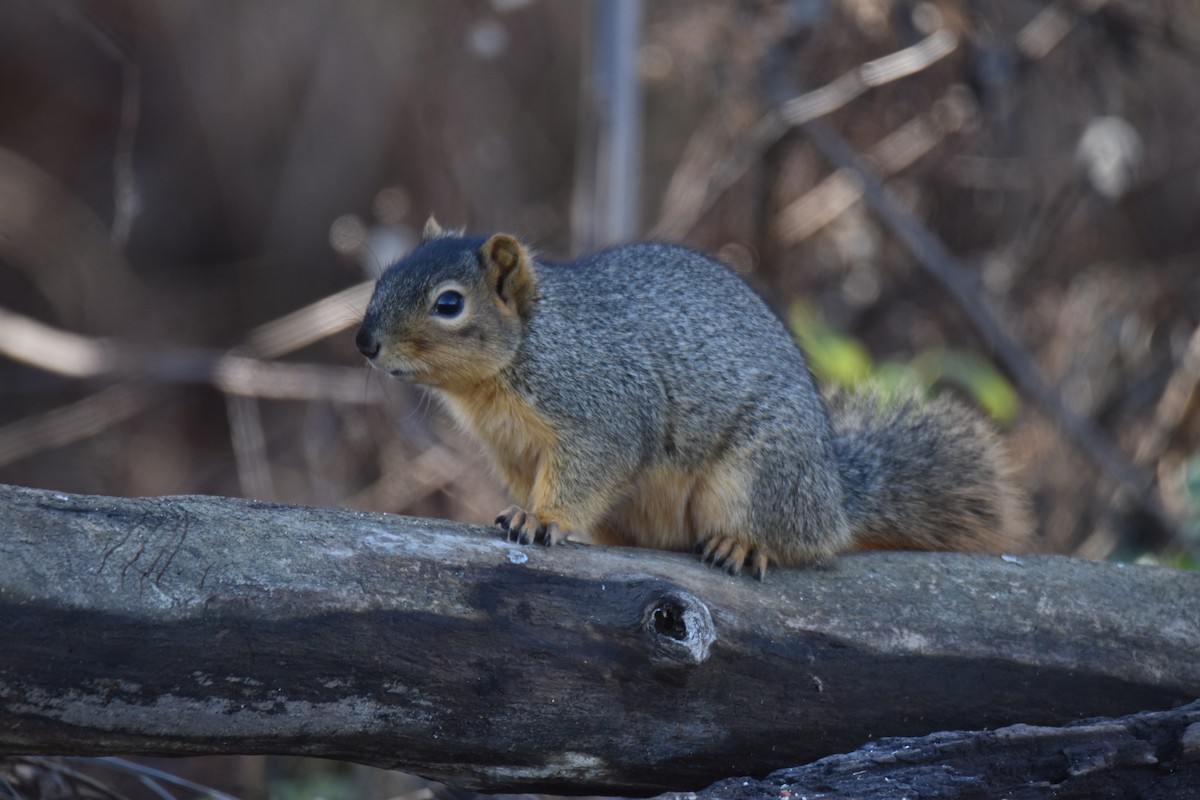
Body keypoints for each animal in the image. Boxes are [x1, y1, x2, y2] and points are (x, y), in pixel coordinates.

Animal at [355, 217, 1031, 579]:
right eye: (383, 279)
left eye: (449, 303)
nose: (364, 342)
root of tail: (836, 498)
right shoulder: (512, 450)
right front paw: (525, 512)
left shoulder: (602, 409)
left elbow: (587, 469)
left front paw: (543, 519)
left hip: (759, 475)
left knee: (800, 541)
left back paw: (743, 544)